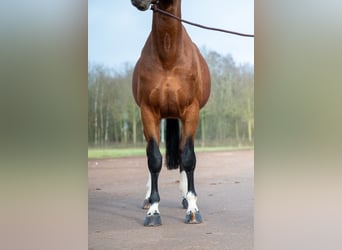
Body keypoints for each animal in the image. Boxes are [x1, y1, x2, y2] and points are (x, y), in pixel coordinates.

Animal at [131, 0, 211, 227]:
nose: (138, 1)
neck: (168, 58)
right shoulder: (148, 113)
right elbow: (154, 158)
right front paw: (153, 210)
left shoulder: (191, 112)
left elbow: (188, 158)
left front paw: (193, 209)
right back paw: (147, 200)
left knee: (183, 151)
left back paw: (185, 198)